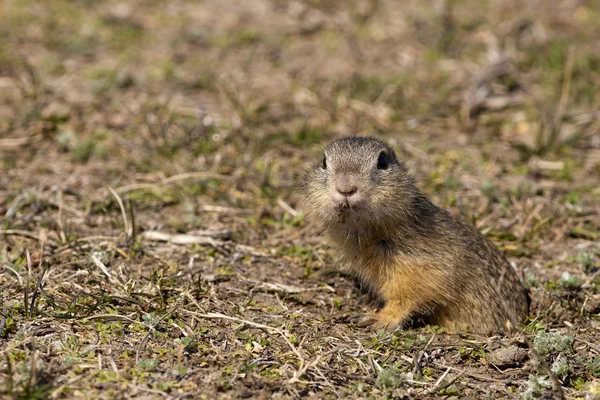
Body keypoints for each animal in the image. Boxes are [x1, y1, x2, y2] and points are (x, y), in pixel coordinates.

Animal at [300, 136, 528, 332]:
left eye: (382, 161)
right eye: (324, 161)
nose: (346, 188)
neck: (370, 233)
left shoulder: (424, 268)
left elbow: (408, 296)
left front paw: (377, 318)